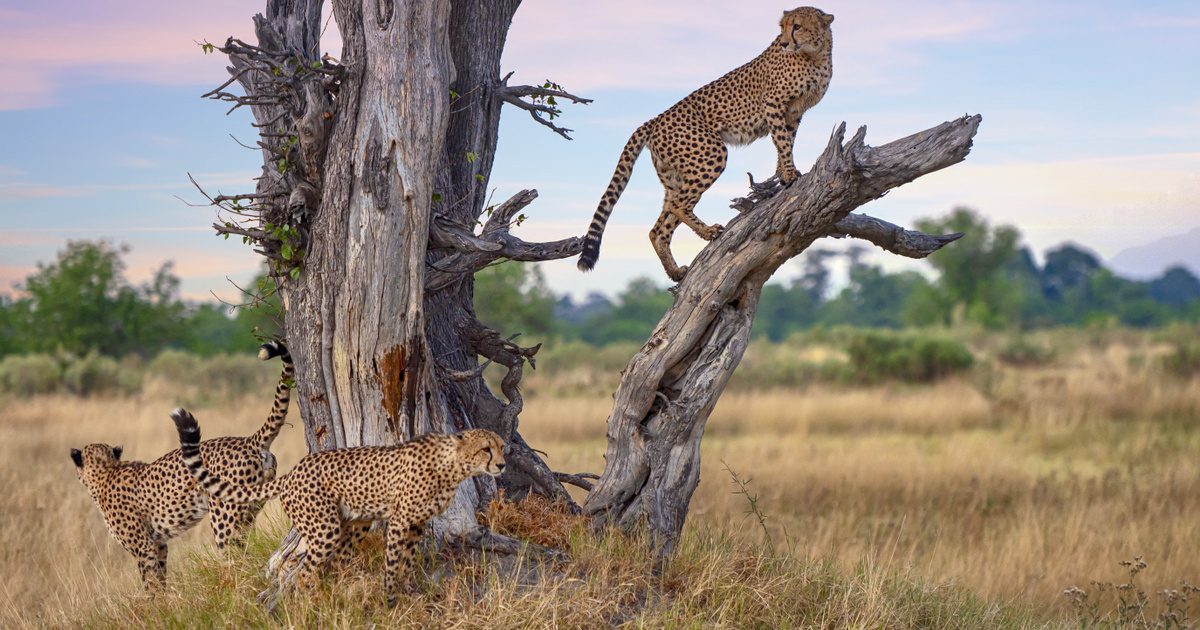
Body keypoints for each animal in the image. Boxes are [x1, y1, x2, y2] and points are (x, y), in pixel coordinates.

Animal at [70, 340, 295, 588]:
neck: (105, 471)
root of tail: (248, 440)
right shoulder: (159, 544)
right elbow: (160, 578)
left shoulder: (143, 546)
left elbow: (150, 583)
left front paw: (152, 599)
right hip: (249, 509)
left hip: (224, 516)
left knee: (235, 556)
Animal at [170, 405, 506, 607]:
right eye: (485, 449)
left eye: (502, 447)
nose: (502, 465)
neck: (453, 465)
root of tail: (294, 471)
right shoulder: (400, 520)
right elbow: (393, 561)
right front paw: (389, 597)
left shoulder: (415, 523)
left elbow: (408, 561)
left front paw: (409, 590)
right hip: (324, 527)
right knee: (305, 573)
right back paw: (312, 604)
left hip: (353, 523)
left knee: (336, 563)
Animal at [578, 6, 835, 279]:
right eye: (783, 27)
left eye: (797, 26)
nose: (785, 42)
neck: (815, 53)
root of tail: (656, 119)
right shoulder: (774, 104)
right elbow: (783, 142)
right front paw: (788, 173)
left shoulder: (794, 112)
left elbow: (786, 141)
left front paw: (782, 174)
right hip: (711, 154)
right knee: (678, 205)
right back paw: (708, 232)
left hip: (675, 176)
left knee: (658, 228)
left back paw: (675, 272)